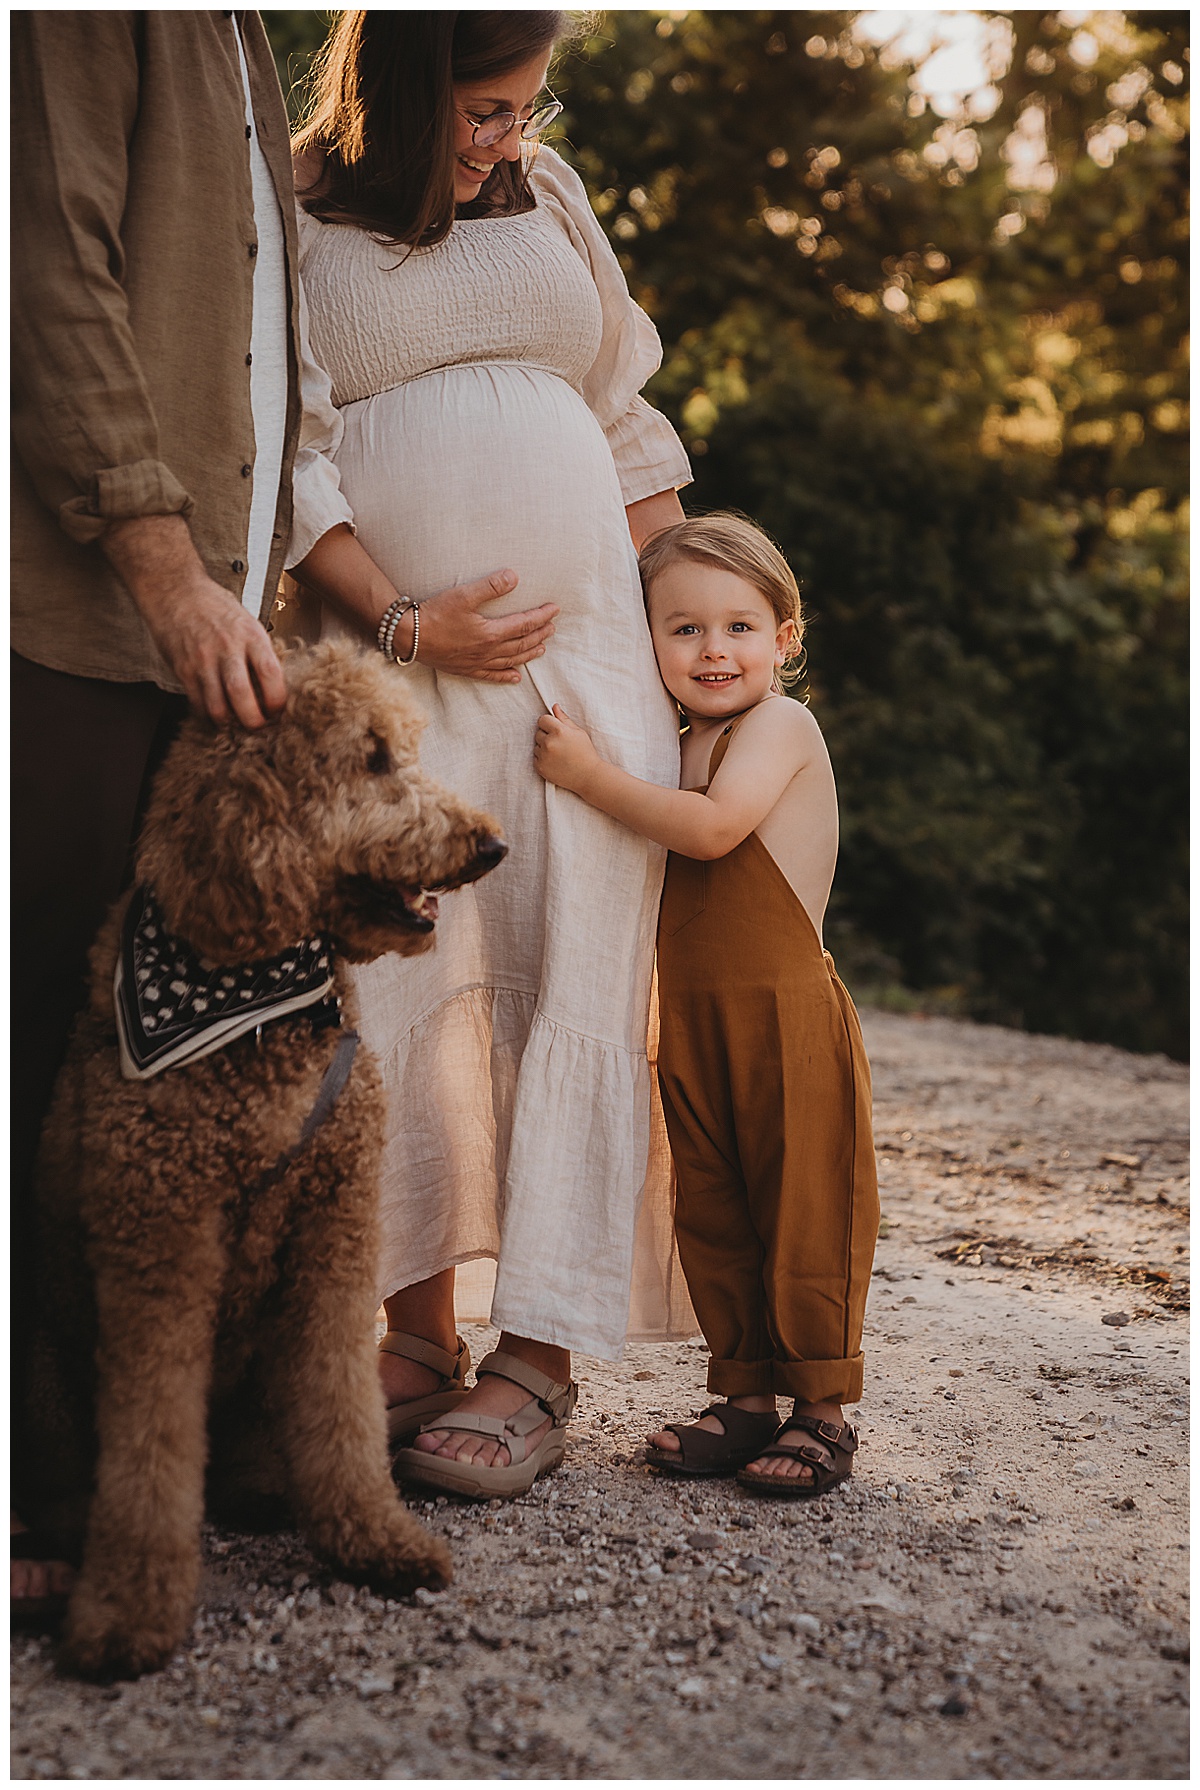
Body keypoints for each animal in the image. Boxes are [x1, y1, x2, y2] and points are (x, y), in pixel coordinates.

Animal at [27, 644, 508, 1675]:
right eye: (371, 760)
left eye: (405, 750)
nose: (489, 846)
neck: (260, 1001)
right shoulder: (160, 1245)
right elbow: (152, 1443)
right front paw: (128, 1610)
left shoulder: (336, 1225)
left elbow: (341, 1402)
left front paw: (374, 1539)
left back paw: (260, 1486)